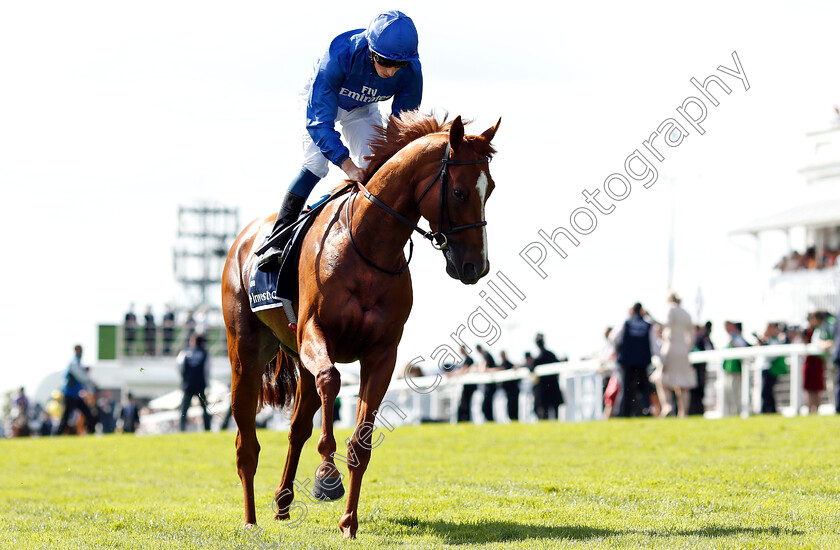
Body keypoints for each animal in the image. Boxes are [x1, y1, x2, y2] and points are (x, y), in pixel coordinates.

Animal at [221, 111, 498, 540]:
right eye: (458, 192)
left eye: (491, 189)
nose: (476, 266)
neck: (367, 246)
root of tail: (244, 238)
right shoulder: (315, 333)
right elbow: (332, 380)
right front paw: (326, 477)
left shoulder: (382, 353)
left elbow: (361, 441)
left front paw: (349, 522)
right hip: (246, 356)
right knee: (246, 444)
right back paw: (251, 519)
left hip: (297, 361)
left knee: (297, 427)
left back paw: (283, 503)